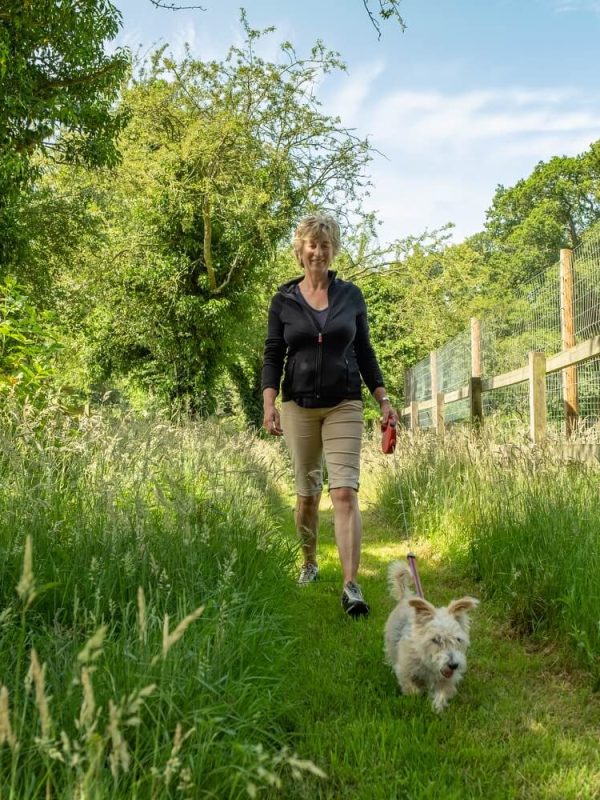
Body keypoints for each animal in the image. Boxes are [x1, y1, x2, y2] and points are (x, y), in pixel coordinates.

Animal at [384, 564, 478, 712]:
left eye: (458, 640)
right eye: (436, 640)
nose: (453, 665)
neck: (427, 662)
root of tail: (406, 597)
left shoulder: (447, 679)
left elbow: (442, 693)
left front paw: (436, 708)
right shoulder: (404, 670)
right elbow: (411, 689)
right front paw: (416, 699)